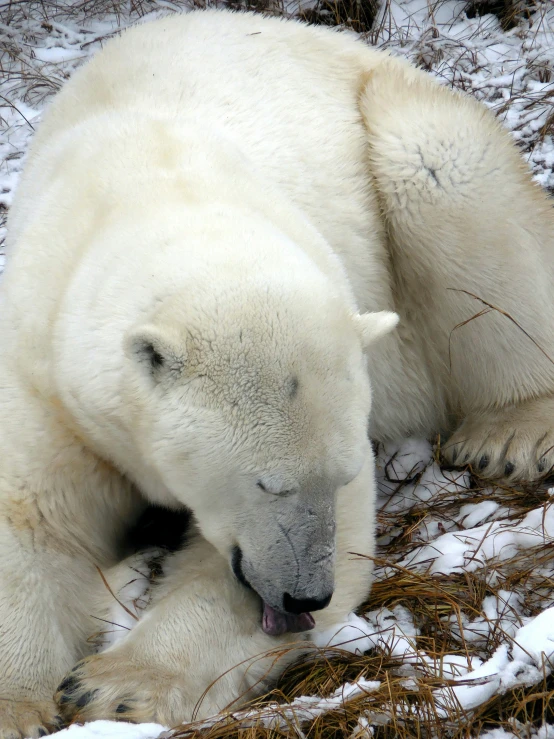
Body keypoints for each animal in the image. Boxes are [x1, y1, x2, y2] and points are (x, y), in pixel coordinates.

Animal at [1, 7, 552, 739]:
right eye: (268, 482)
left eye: (343, 474)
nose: (305, 594)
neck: (162, 188)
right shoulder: (46, 370)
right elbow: (32, 519)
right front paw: (18, 702)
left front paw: (117, 686)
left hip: (405, 128)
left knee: (447, 181)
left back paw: (512, 431)